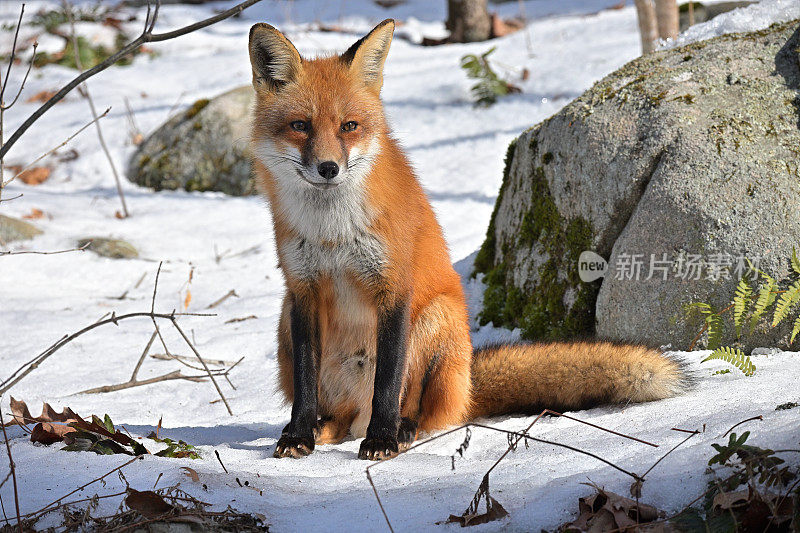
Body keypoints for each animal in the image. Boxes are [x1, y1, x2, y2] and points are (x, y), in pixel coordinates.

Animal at [247, 20, 692, 460]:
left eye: (349, 126)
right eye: (300, 126)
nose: (328, 168)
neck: (333, 233)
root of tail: (467, 386)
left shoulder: (393, 287)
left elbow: (388, 381)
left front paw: (382, 439)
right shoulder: (303, 290)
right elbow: (305, 381)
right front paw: (298, 434)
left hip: (436, 319)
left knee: (421, 411)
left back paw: (400, 430)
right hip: (285, 320)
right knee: (339, 420)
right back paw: (323, 428)